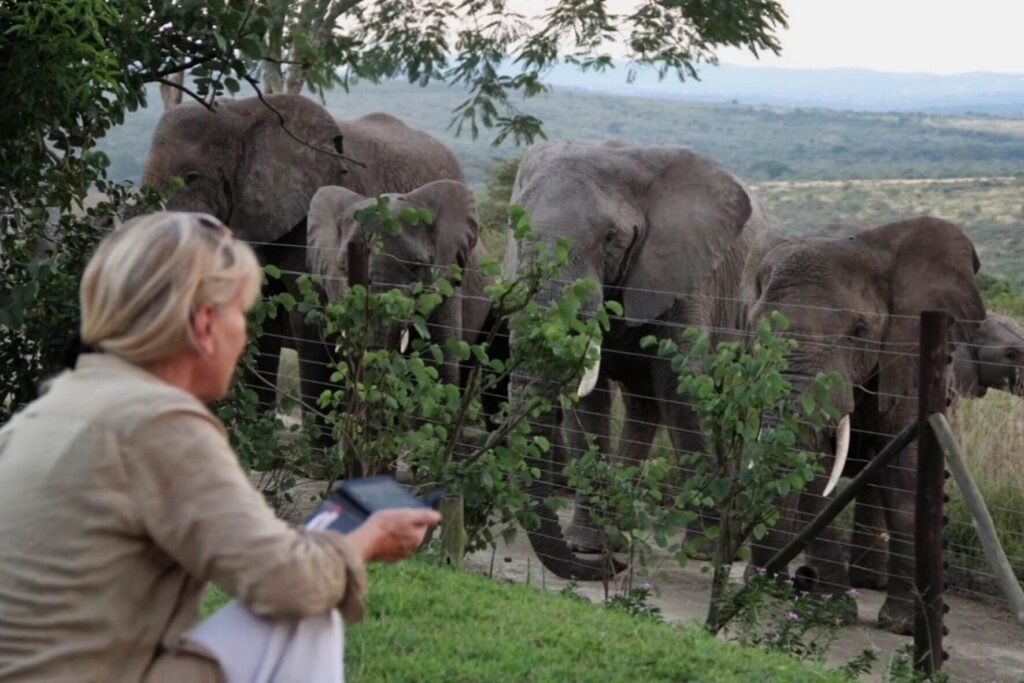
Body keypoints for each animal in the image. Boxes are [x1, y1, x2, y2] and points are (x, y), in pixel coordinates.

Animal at [142, 94, 467, 451]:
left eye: (192, 177)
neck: (241, 113)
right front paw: (257, 443)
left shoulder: (305, 221)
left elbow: (308, 315)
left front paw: (316, 454)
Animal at [504, 141, 770, 580]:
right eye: (515, 229)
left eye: (610, 237)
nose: (616, 569)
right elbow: (587, 407)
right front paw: (588, 547)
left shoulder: (687, 275)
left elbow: (682, 390)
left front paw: (706, 550)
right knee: (643, 407)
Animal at [742, 216, 985, 634]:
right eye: (757, 330)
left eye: (859, 332)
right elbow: (816, 472)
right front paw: (832, 612)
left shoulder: (907, 359)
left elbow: (905, 480)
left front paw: (903, 626)